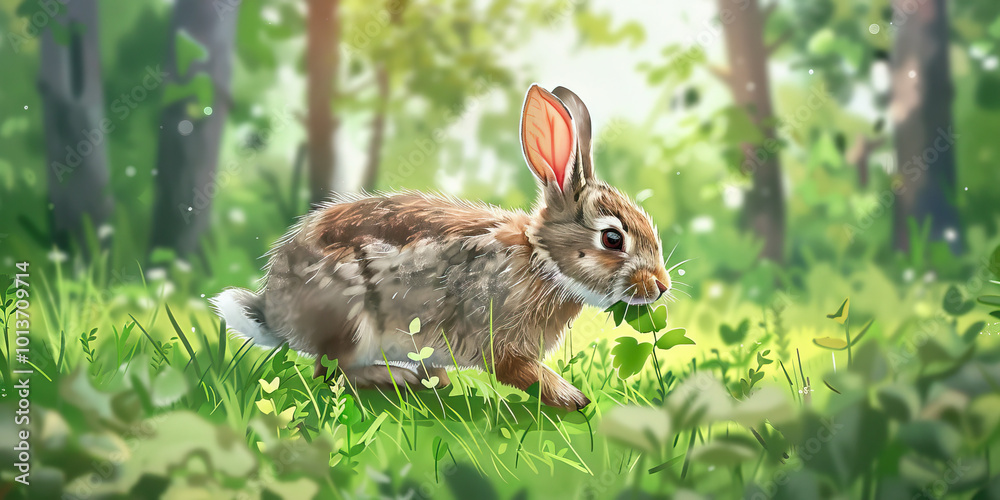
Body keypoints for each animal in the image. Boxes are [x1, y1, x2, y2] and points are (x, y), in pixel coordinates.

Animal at [212, 84, 671, 411]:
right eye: (613, 238)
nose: (661, 286)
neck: (541, 261)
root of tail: (276, 313)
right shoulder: (499, 340)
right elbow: (520, 371)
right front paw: (570, 397)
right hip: (351, 320)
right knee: (330, 372)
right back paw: (390, 378)